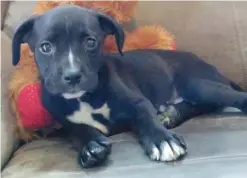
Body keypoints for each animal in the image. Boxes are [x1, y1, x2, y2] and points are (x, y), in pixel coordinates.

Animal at [12, 4, 247, 168]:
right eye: (45, 47)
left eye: (90, 42)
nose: (72, 76)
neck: (83, 98)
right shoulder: (64, 120)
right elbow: (77, 130)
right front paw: (90, 147)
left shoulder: (138, 102)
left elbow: (145, 117)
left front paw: (163, 141)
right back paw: (170, 114)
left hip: (198, 84)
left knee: (229, 98)